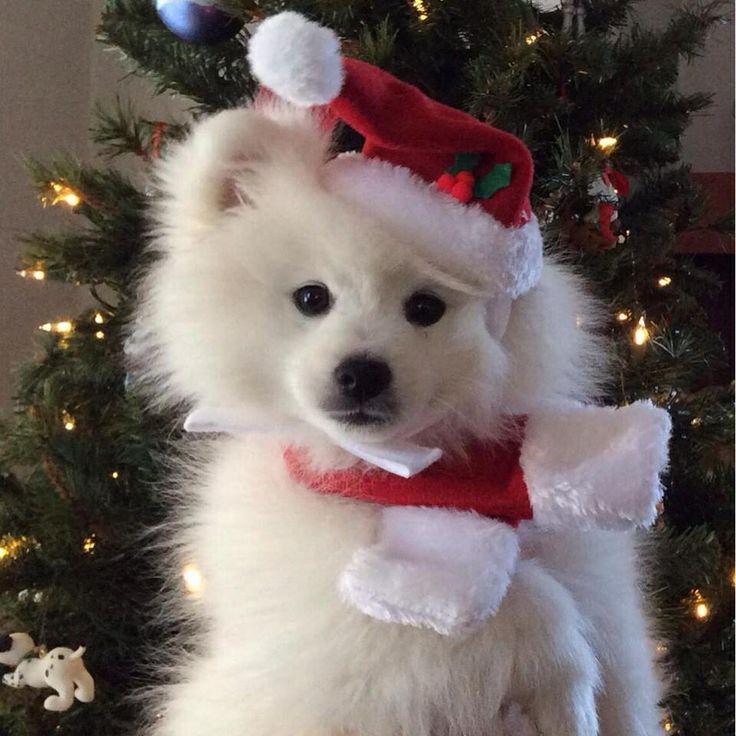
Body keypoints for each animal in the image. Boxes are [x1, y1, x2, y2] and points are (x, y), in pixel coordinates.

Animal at [134, 50, 668, 736]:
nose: (362, 372)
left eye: (425, 308)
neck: (405, 478)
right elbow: (524, 600)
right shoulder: (346, 622)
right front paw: (565, 678)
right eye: (312, 297)